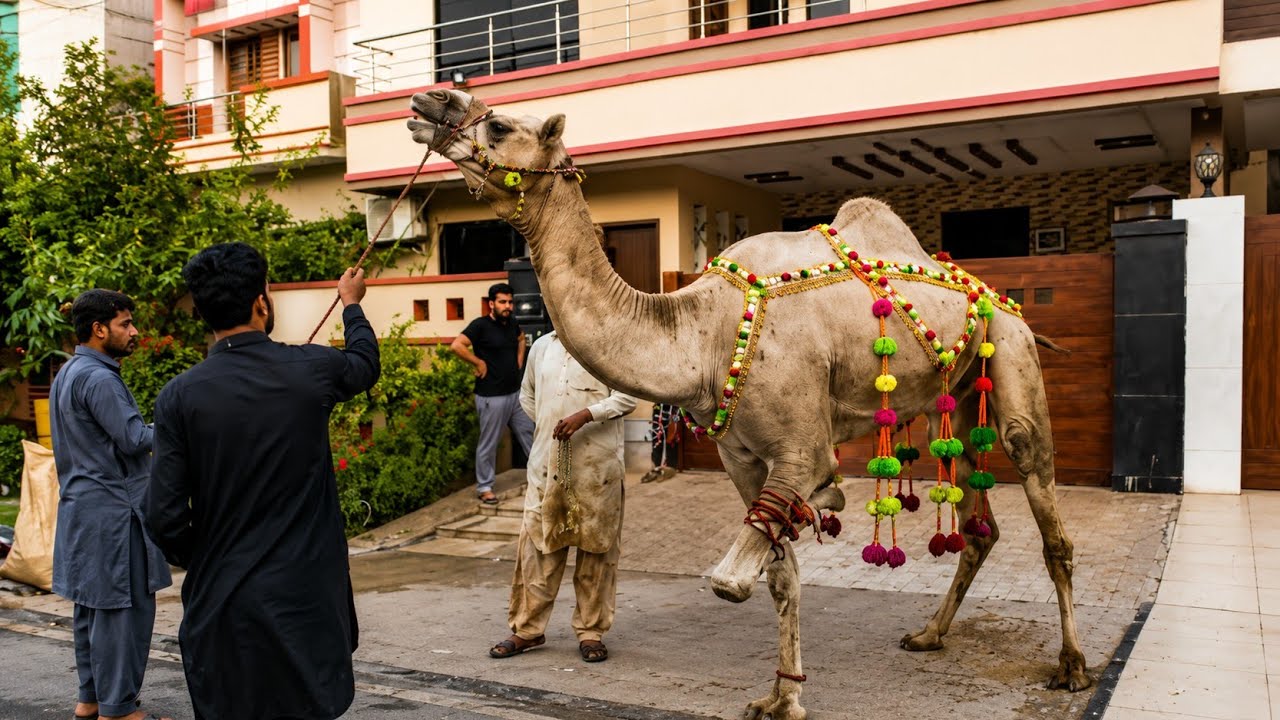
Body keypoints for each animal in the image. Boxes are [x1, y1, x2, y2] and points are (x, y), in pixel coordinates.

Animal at [405, 89, 1089, 720]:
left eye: (499, 124)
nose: (429, 101)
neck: (705, 333)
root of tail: (995, 294)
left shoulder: (800, 451)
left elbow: (731, 580)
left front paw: (829, 502)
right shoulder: (740, 456)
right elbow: (780, 575)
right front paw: (783, 698)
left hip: (1010, 349)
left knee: (1044, 506)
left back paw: (1072, 667)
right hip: (963, 392)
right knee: (979, 526)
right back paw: (928, 634)